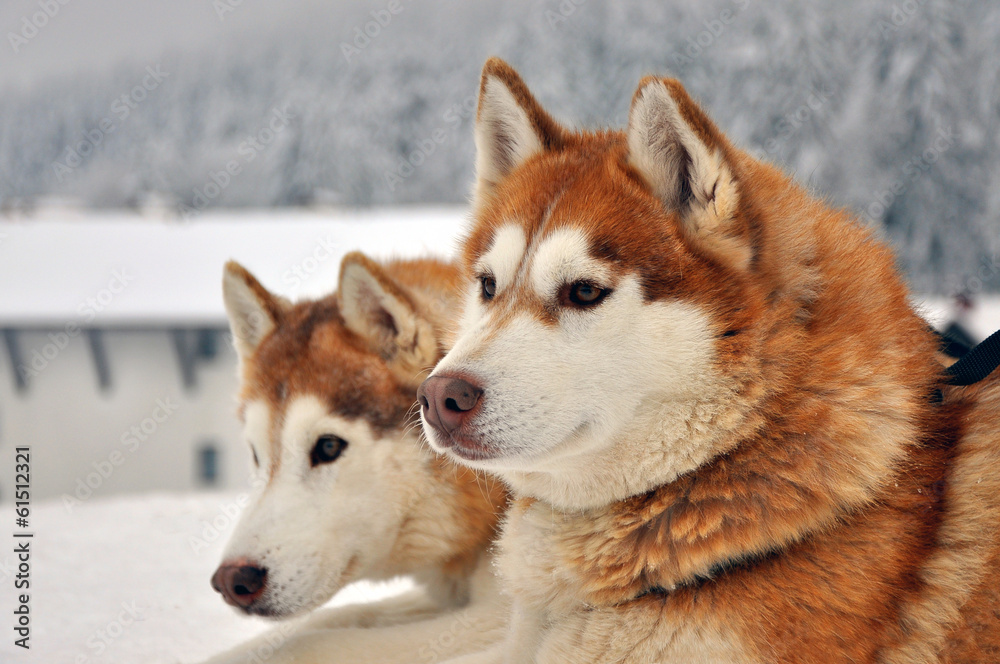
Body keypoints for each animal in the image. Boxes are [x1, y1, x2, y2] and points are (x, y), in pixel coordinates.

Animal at [207, 250, 512, 664]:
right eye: (256, 454)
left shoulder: (498, 618)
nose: (232, 580)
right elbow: (332, 618)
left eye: (328, 447)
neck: (490, 497)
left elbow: (307, 644)